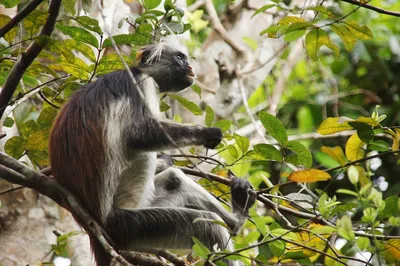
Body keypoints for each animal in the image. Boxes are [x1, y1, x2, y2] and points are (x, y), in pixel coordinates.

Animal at [49, 35, 256, 266]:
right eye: (180, 57)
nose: (190, 67)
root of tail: (94, 226)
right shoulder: (142, 84)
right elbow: (139, 136)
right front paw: (207, 133)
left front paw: (165, 160)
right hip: (128, 225)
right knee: (207, 224)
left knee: (175, 180)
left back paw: (237, 218)